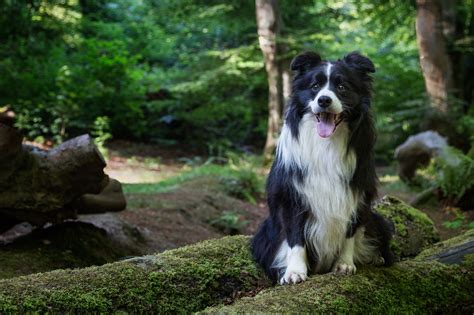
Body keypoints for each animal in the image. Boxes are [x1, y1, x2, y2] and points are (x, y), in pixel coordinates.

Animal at [254, 52, 394, 286]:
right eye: (315, 86)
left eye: (342, 86)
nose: (324, 100)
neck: (326, 144)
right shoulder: (291, 196)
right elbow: (295, 237)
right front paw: (294, 271)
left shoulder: (357, 193)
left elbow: (350, 232)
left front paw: (344, 263)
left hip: (379, 221)